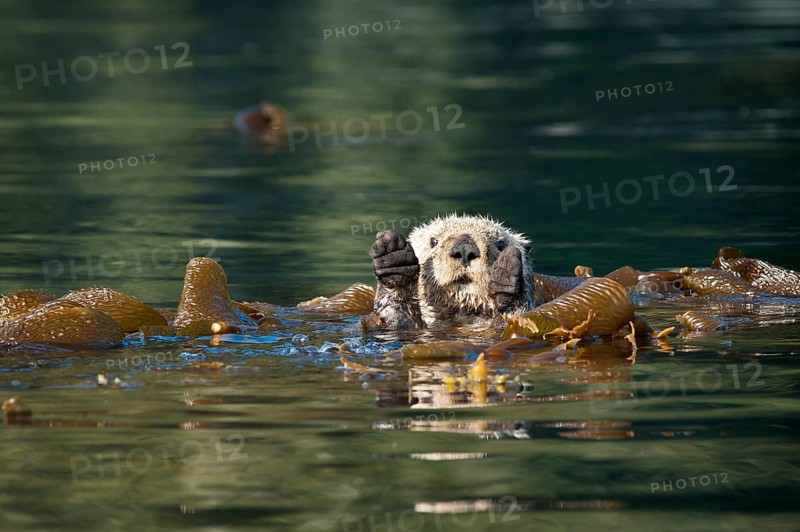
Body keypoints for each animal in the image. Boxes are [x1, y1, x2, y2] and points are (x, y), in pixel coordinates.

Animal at [368, 214, 535, 328]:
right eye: (433, 241)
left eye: (501, 244)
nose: (465, 249)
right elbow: (394, 317)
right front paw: (394, 258)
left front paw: (505, 279)